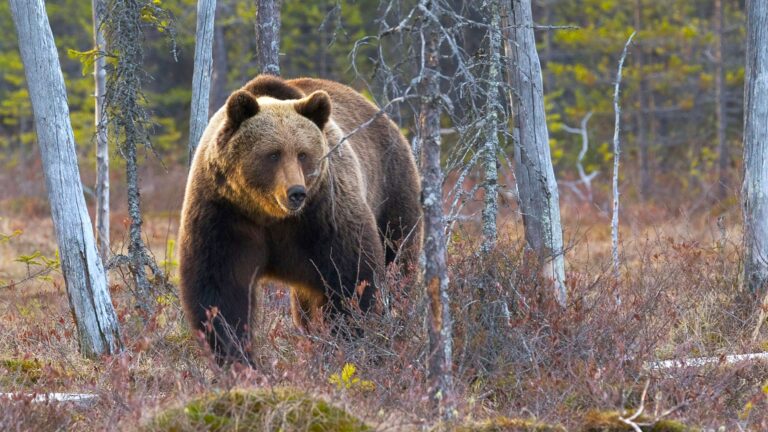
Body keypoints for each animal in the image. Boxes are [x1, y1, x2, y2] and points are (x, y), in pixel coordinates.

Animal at [178, 75, 422, 364]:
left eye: (303, 153)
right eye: (273, 153)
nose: (296, 192)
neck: (270, 214)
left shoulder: (324, 215)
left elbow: (351, 279)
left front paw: (345, 343)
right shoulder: (224, 213)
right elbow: (220, 289)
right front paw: (236, 356)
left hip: (391, 190)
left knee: (398, 261)